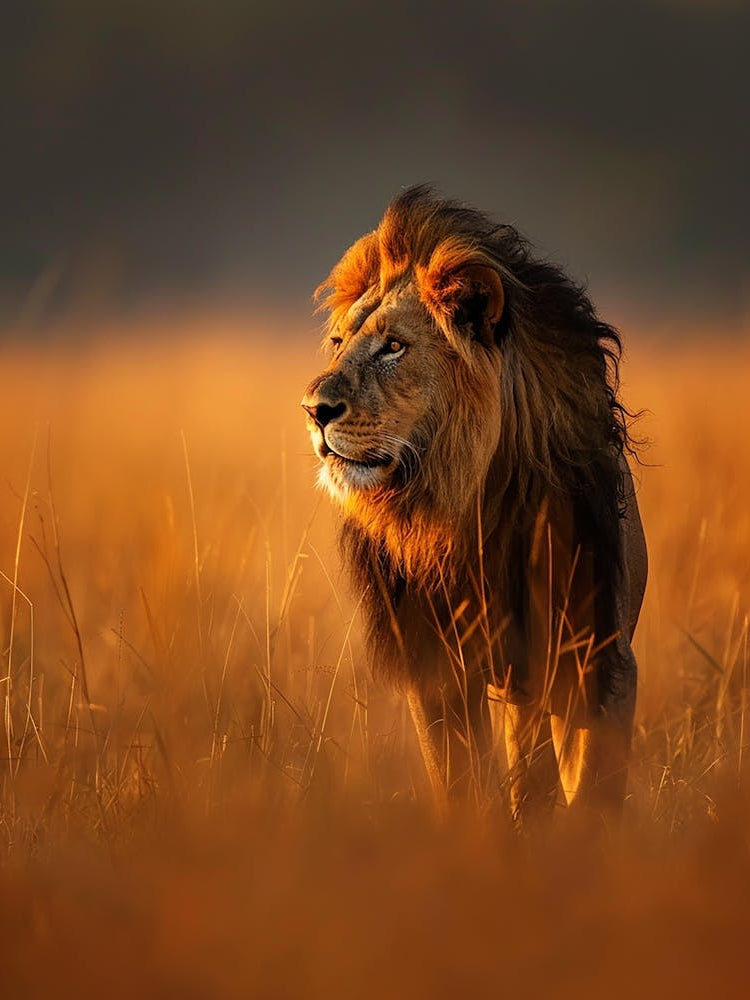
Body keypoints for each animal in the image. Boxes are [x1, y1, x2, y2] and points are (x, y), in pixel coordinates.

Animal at [302, 185, 647, 823]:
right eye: (338, 344)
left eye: (393, 347)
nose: (313, 409)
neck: (468, 504)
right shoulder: (437, 669)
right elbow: (462, 786)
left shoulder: (599, 658)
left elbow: (593, 795)